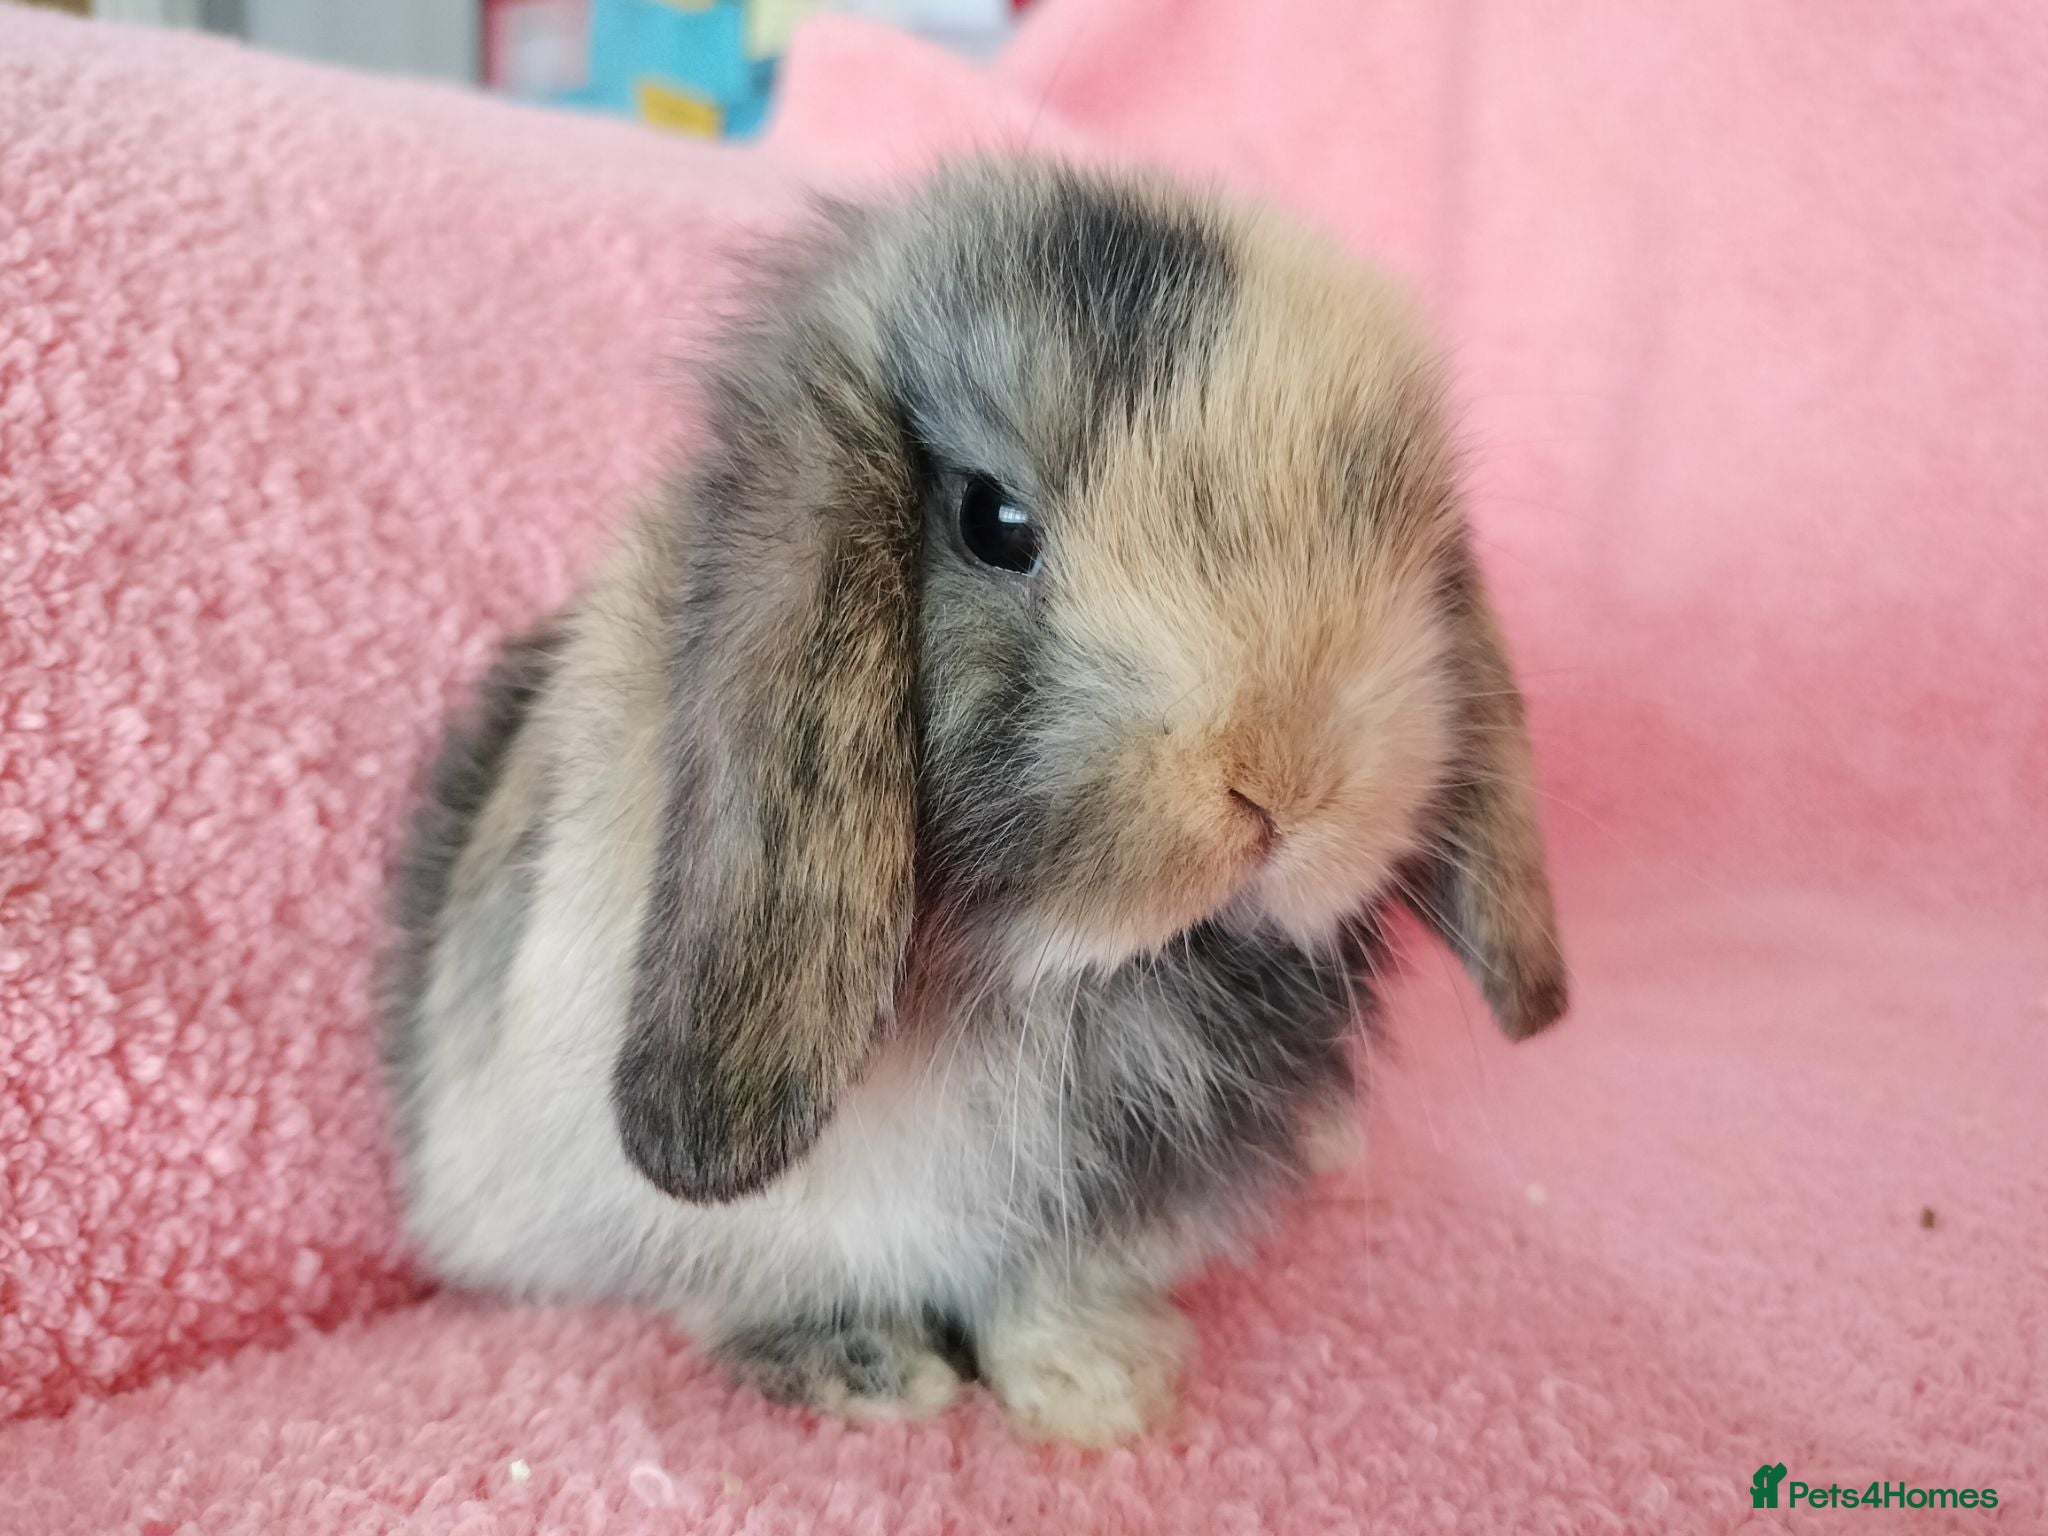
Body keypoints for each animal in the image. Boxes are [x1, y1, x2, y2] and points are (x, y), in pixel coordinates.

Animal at [381, 157, 1566, 1447]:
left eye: (1394, 532)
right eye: (992, 523)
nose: (1283, 780)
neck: (1066, 979)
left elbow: (1050, 1285)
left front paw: (1102, 1390)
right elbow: (735, 1277)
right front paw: (874, 1374)